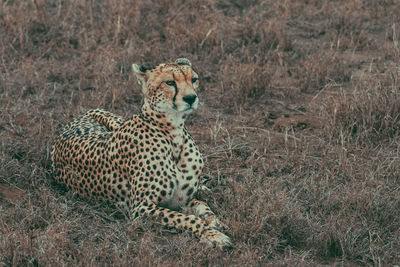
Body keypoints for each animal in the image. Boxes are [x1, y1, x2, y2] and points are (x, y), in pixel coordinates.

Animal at [50, 57, 231, 248]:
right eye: (169, 82)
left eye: (194, 79)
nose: (191, 98)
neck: (174, 132)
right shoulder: (140, 208)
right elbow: (186, 219)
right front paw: (211, 234)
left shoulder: (182, 200)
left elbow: (203, 206)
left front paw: (215, 222)